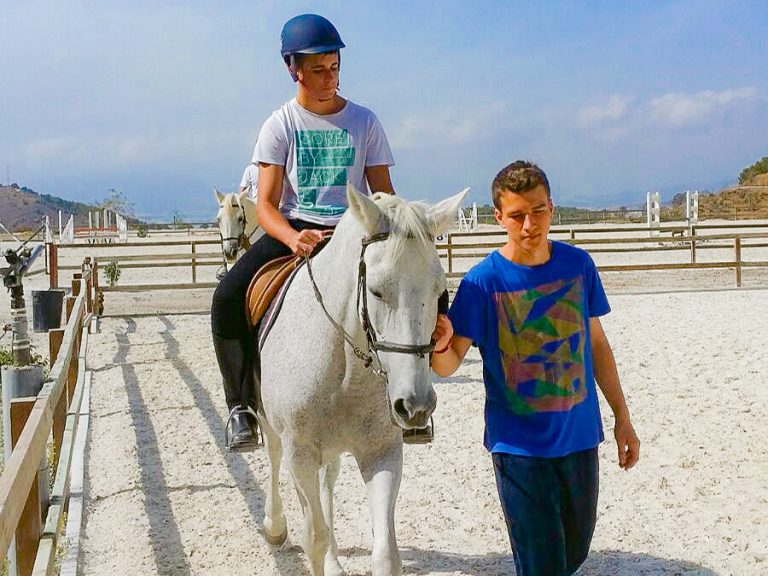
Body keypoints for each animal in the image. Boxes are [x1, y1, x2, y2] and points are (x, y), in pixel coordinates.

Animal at [257, 184, 467, 576]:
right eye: (377, 291)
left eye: (439, 291)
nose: (415, 407)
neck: (346, 374)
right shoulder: (300, 454)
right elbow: (313, 536)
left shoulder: (381, 452)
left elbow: (385, 550)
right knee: (275, 456)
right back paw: (274, 526)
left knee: (329, 480)